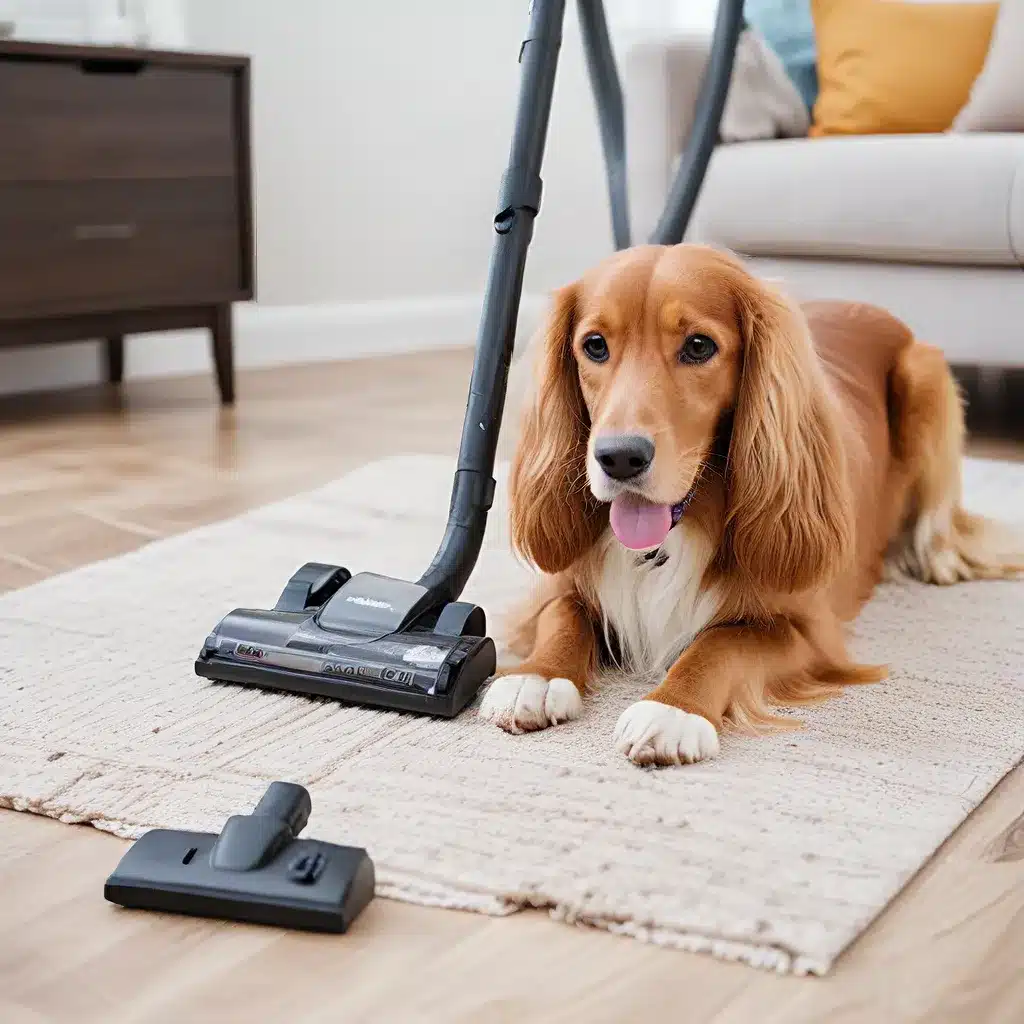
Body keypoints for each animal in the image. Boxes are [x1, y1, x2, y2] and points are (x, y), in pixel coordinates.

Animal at [481, 243, 1024, 765]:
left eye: (699, 346)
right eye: (594, 345)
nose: (619, 457)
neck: (678, 532)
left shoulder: (809, 634)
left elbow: (719, 643)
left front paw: (673, 709)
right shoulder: (561, 584)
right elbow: (561, 615)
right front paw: (536, 676)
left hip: (925, 377)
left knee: (939, 524)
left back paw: (932, 559)